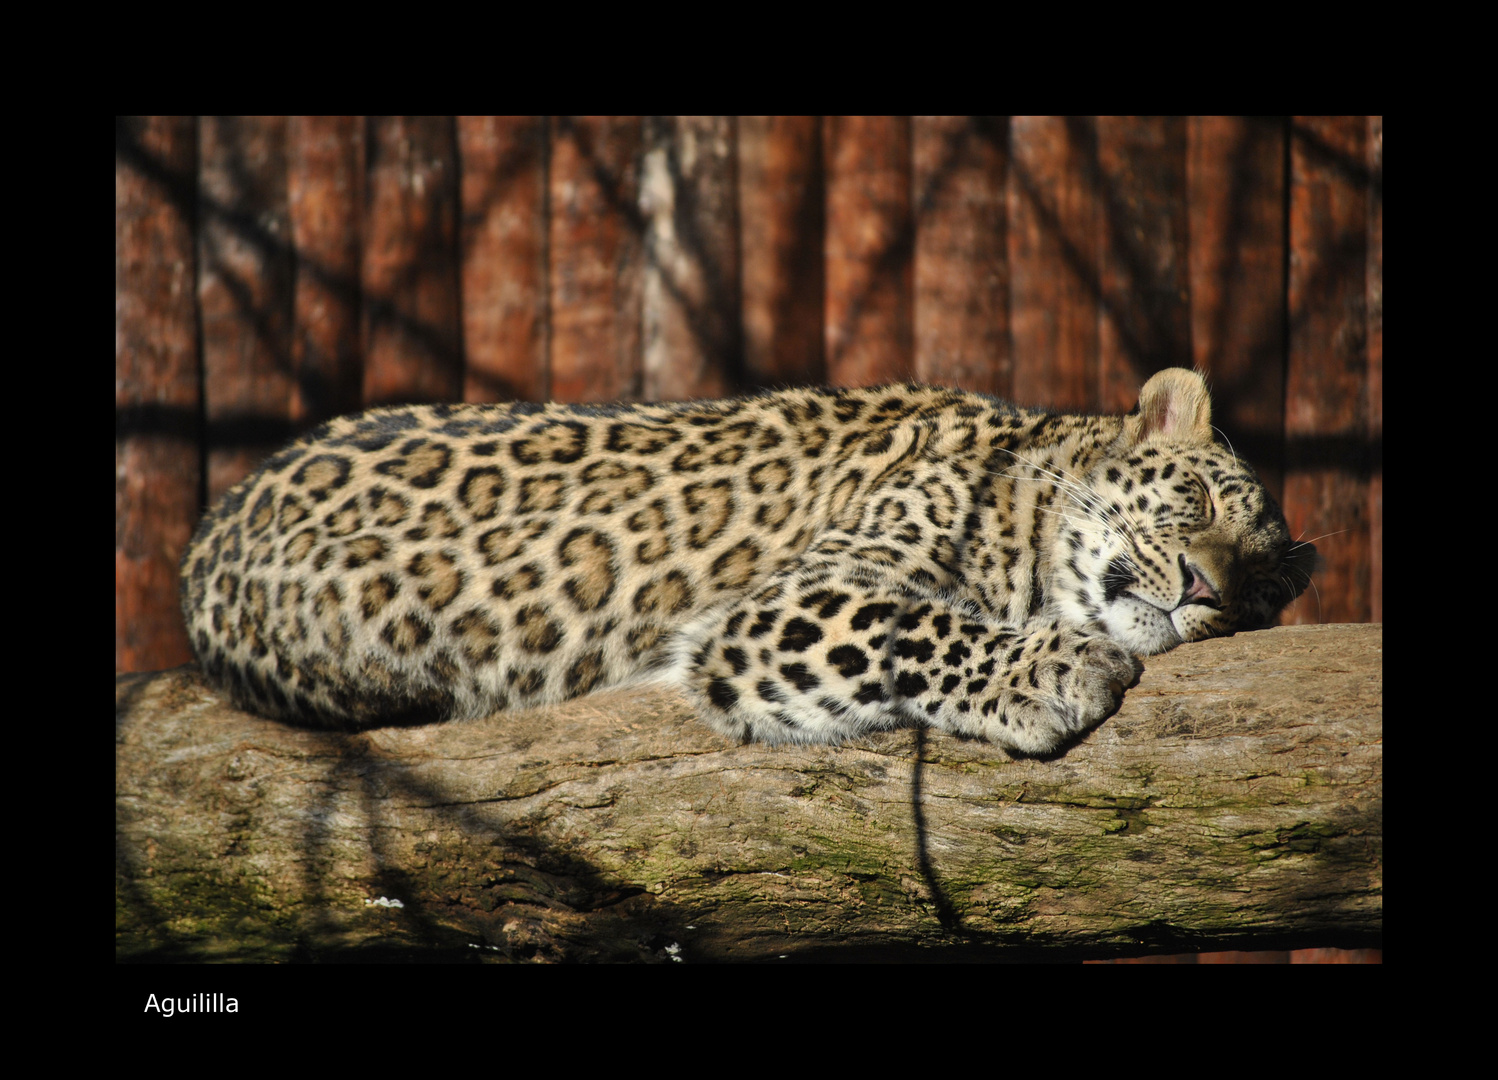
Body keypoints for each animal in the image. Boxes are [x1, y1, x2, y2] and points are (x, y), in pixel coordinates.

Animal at [181, 366, 1318, 754]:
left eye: (1263, 592)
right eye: (1196, 501)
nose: (1209, 589)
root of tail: (206, 531)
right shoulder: (795, 602)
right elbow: (916, 626)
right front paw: (1053, 666)